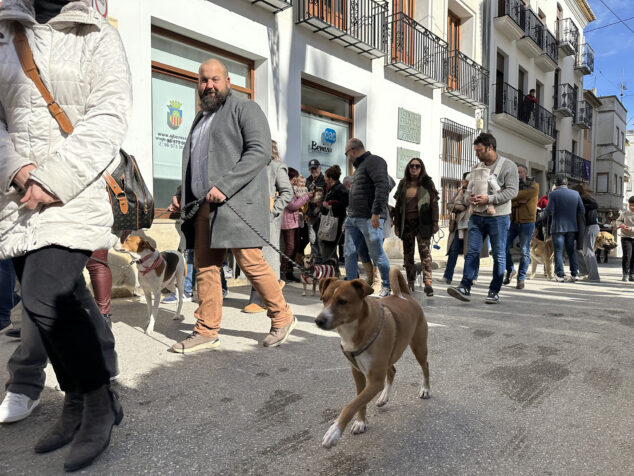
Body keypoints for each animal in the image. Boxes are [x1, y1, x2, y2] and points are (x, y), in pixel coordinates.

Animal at [312, 268, 428, 450]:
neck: (354, 330)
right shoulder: (357, 372)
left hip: (419, 347)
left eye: (342, 301)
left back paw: (425, 389)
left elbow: (351, 405)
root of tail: (405, 295)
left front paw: (335, 431)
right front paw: (361, 422)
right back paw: (384, 397)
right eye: (323, 299)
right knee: (392, 370)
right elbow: (359, 400)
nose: (318, 320)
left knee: (425, 366)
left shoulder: (375, 381)